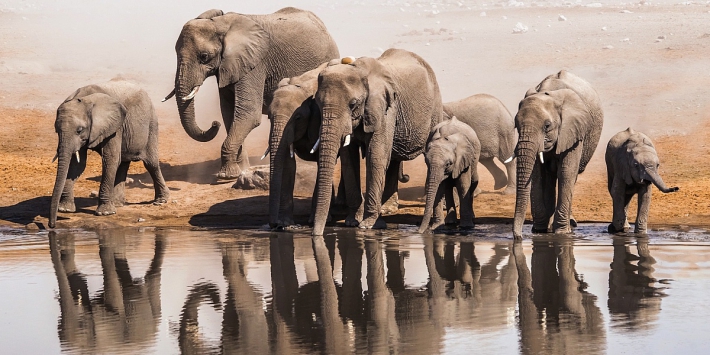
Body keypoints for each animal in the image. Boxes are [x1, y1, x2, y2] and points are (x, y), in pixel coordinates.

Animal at [49, 79, 170, 228]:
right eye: (56, 130)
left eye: (79, 130)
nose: (52, 225)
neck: (86, 99)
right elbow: (78, 164)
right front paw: (65, 209)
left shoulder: (115, 126)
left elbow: (110, 159)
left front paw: (104, 213)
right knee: (123, 163)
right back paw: (118, 203)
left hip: (151, 123)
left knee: (151, 164)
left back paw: (161, 201)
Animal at [312, 48, 444, 236]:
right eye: (317, 102)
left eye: (353, 104)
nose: (316, 234)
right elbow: (349, 160)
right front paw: (352, 222)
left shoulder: (386, 108)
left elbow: (376, 156)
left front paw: (368, 225)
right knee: (394, 158)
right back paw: (388, 209)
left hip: (435, 109)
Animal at [512, 70, 608, 239]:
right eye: (516, 125)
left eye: (547, 126)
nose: (518, 237)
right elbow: (537, 175)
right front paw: (540, 230)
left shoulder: (574, 130)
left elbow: (566, 172)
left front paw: (563, 232)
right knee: (549, 177)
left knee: (570, 176)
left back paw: (570, 223)